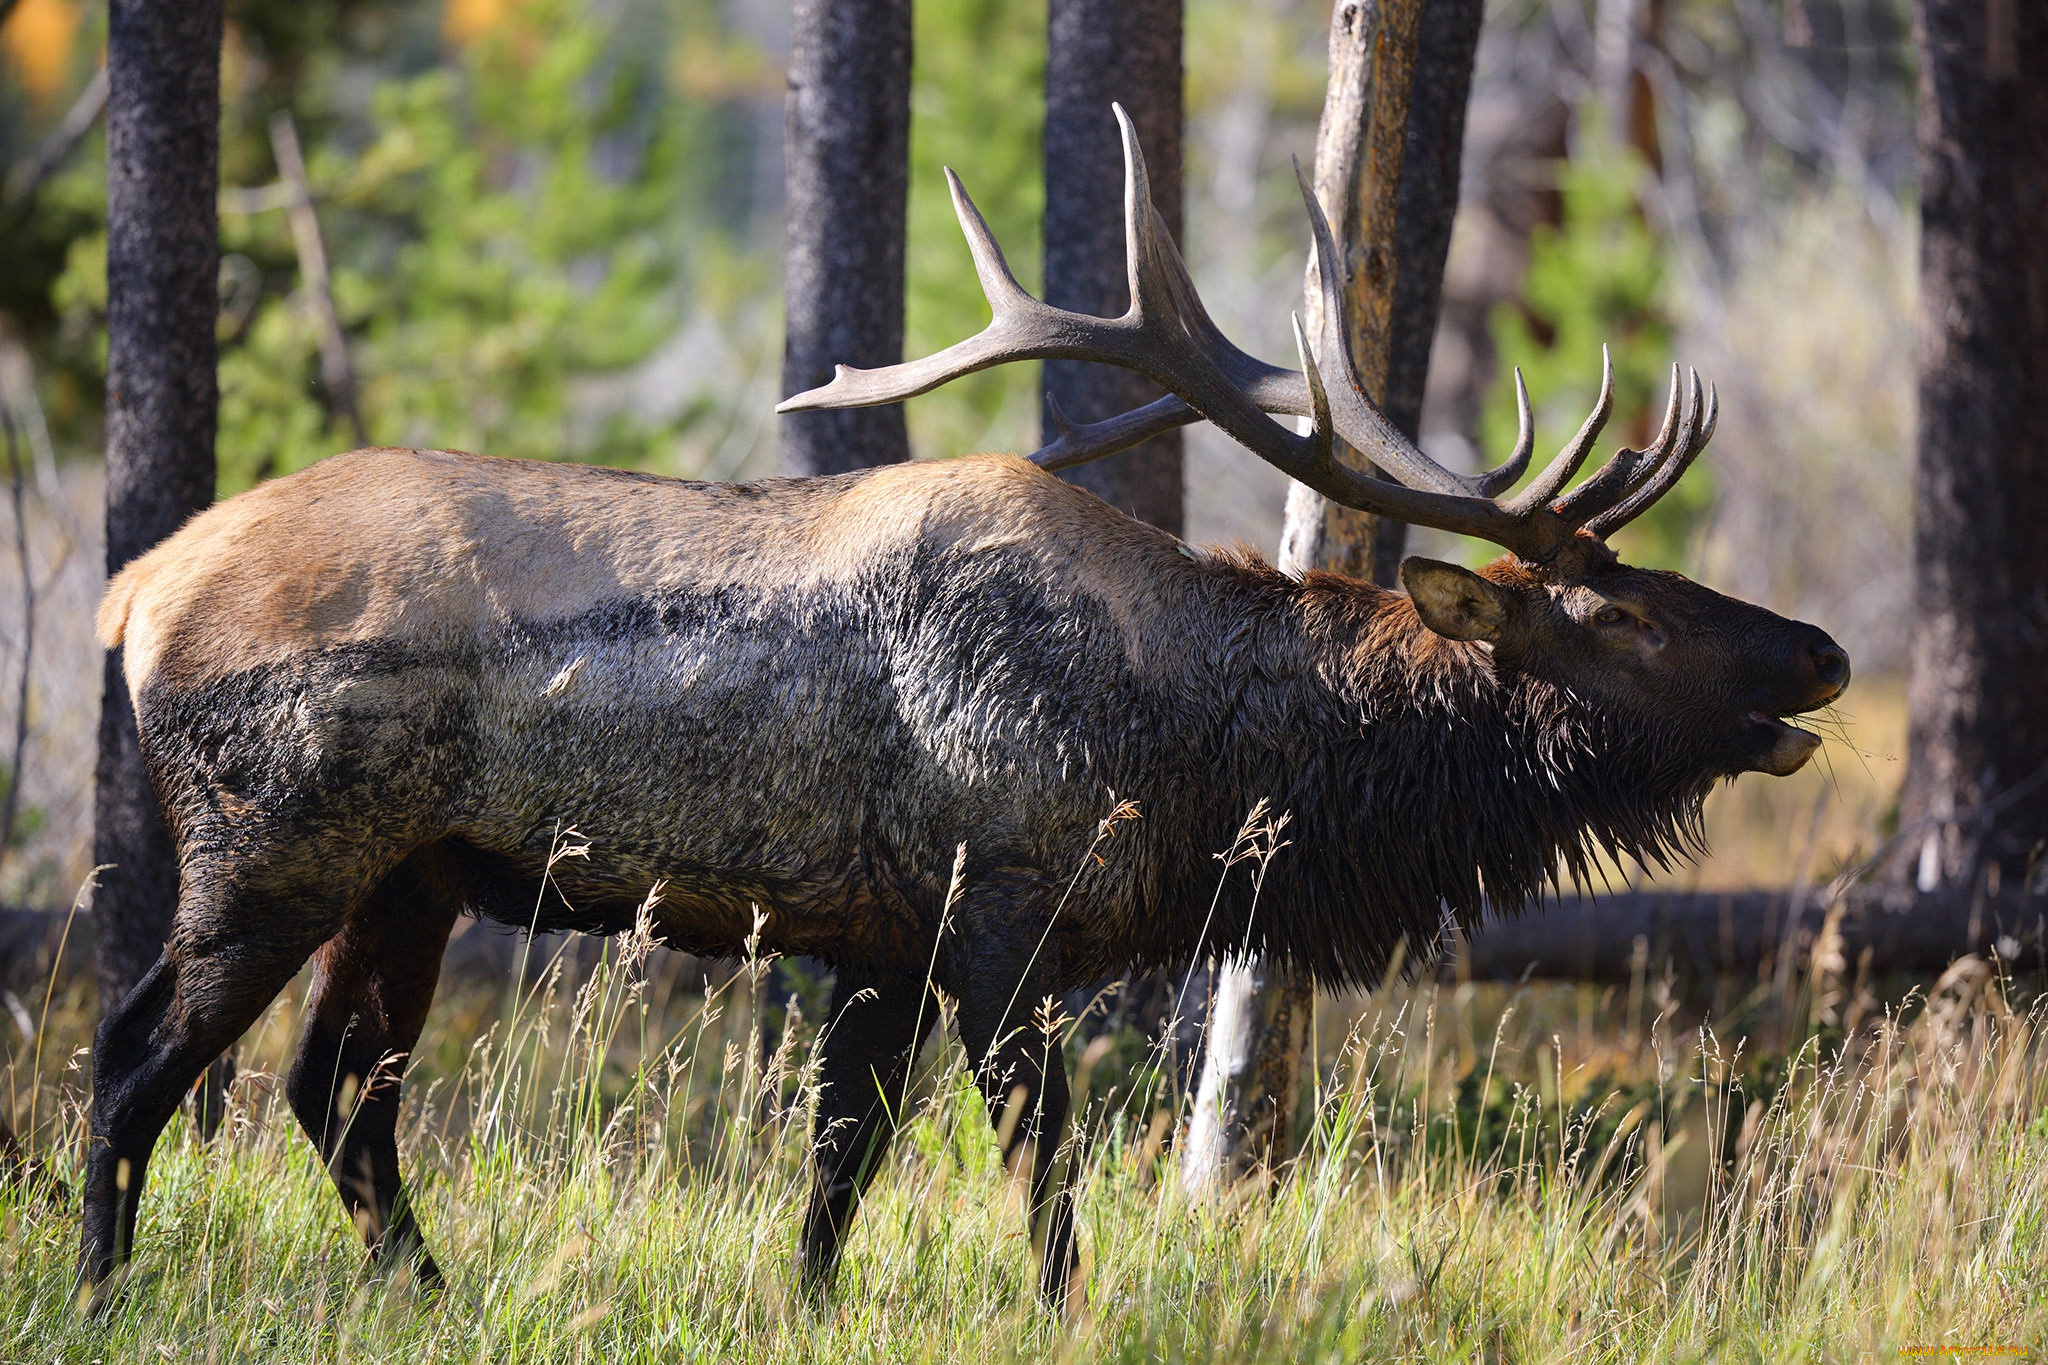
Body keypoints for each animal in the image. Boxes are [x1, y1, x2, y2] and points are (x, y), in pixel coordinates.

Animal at [75, 112, 1843, 1317]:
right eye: (1620, 614)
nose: (1819, 650)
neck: (1193, 761)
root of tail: (134, 593)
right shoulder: (1004, 915)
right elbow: (1044, 1186)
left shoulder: (878, 937)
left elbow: (832, 1179)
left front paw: (803, 1310)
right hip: (278, 844)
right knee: (135, 1053)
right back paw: (100, 1292)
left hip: (413, 878)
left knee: (332, 1095)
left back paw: (434, 1296)